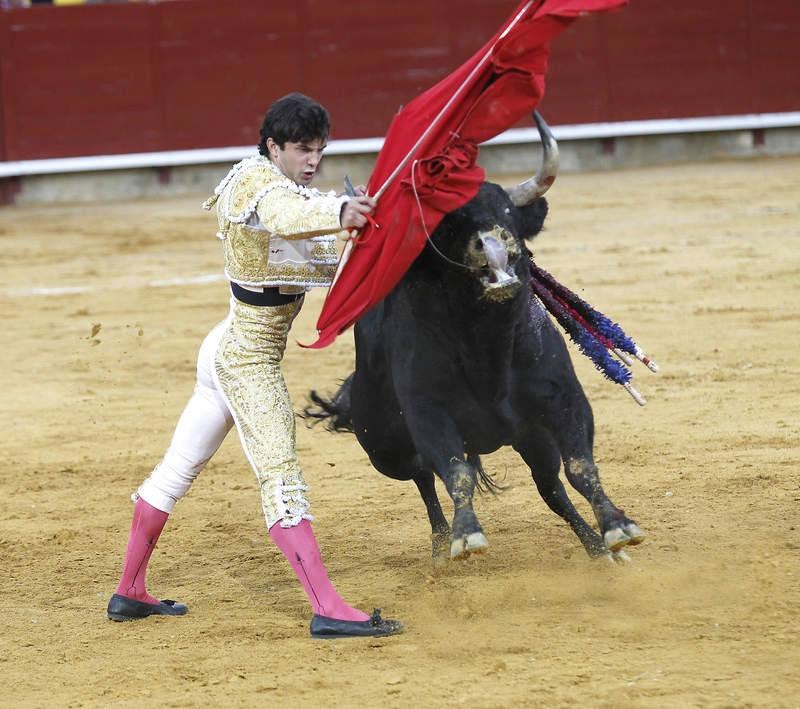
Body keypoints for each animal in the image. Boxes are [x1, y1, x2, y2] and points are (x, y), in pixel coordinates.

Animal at [304, 173, 644, 564]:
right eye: (449, 225)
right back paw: (441, 546)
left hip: (530, 437)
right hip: (384, 448)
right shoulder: (428, 415)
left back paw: (597, 549)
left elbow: (580, 465)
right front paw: (466, 536)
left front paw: (618, 527)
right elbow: (457, 474)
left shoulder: (564, 398)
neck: (486, 349)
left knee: (550, 487)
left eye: (508, 212)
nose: (493, 245)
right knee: (423, 476)